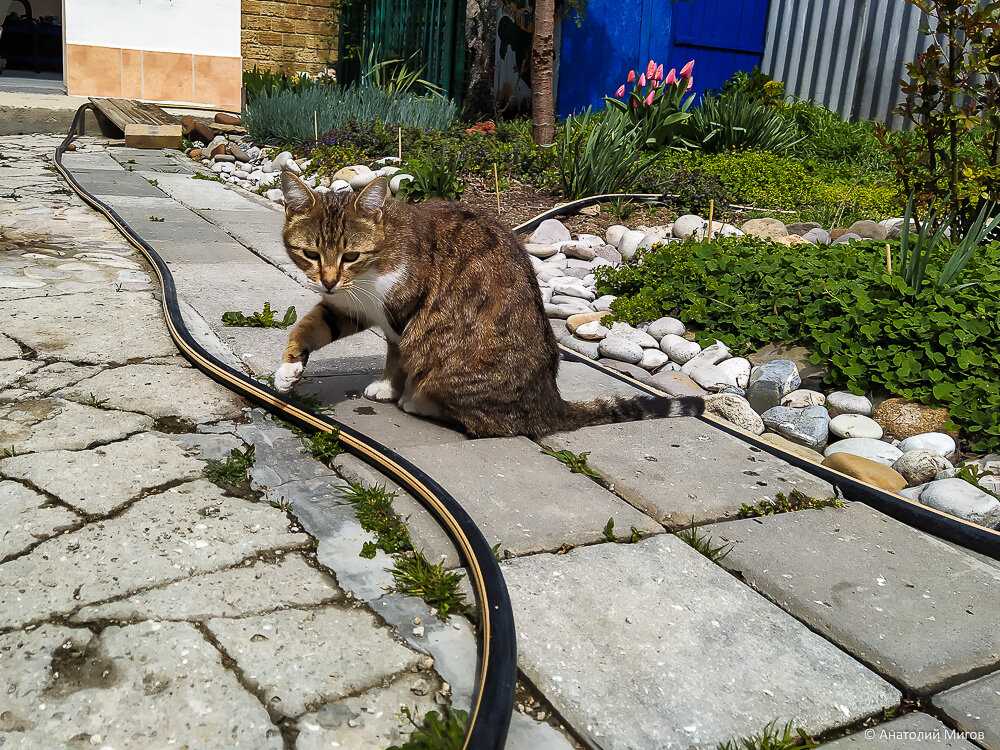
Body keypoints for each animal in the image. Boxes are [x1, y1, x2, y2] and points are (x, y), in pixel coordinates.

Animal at [270, 172, 700, 440]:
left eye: (351, 256)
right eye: (310, 254)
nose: (327, 281)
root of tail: (549, 403)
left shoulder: (404, 313)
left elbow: (398, 354)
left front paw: (390, 386)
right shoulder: (350, 305)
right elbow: (311, 325)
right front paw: (289, 369)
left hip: (449, 361)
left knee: (489, 423)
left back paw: (419, 402)